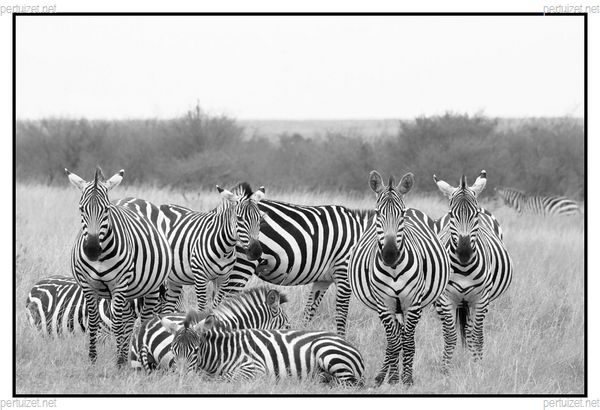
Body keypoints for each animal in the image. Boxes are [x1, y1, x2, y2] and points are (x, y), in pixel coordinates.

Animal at [66, 167, 172, 365]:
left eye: (106, 210)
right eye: (81, 209)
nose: (92, 249)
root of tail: (135, 198)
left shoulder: (119, 283)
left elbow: (117, 323)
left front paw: (119, 361)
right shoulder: (88, 284)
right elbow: (94, 321)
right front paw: (93, 358)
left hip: (151, 286)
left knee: (144, 319)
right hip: (129, 290)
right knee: (129, 320)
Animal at [166, 314, 365, 386]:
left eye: (195, 350)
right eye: (173, 350)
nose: (181, 381)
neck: (225, 351)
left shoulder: (253, 368)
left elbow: (222, 377)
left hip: (325, 350)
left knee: (350, 383)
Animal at [348, 171, 450, 386]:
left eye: (401, 214)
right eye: (377, 213)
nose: (390, 254)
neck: (394, 270)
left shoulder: (413, 302)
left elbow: (408, 342)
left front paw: (408, 378)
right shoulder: (384, 303)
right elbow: (394, 342)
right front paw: (394, 378)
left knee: (403, 336)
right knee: (394, 337)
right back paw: (383, 375)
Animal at [433, 171, 513, 371]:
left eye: (475, 214)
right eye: (452, 215)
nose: (464, 252)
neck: (463, 267)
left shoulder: (481, 298)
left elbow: (476, 337)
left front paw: (477, 368)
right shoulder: (445, 299)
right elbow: (450, 337)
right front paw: (445, 370)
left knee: (471, 332)